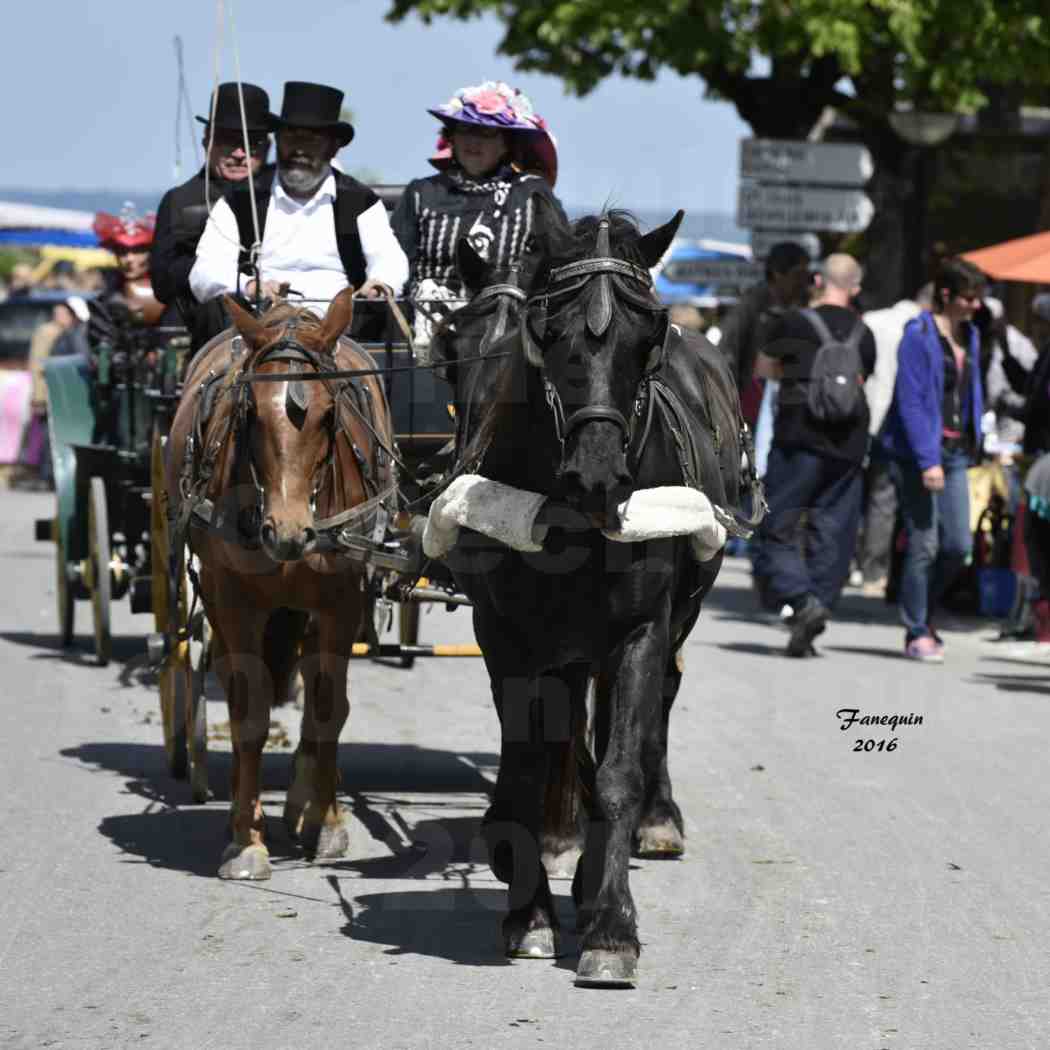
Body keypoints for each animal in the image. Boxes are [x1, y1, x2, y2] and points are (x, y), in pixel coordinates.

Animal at [163, 287, 394, 877]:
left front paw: (328, 823)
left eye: (330, 412)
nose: (288, 533)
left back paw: (304, 806)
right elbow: (249, 713)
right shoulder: (234, 602)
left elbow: (329, 707)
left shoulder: (340, 604)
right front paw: (247, 839)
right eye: (250, 412)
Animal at [432, 208, 755, 986]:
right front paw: (530, 910)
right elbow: (526, 763)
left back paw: (651, 822)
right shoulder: (506, 635)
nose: (599, 471)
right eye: (548, 333)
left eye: (649, 336)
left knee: (652, 705)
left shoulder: (637, 627)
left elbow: (617, 772)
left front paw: (611, 927)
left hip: (674, 617)